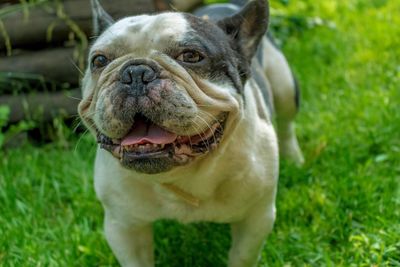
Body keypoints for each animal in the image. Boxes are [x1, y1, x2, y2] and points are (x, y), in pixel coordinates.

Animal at [78, 1, 304, 266]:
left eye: (191, 56)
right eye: (99, 60)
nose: (135, 72)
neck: (183, 173)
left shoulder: (256, 219)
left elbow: (241, 257)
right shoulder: (123, 226)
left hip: (285, 86)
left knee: (287, 123)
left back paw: (294, 158)